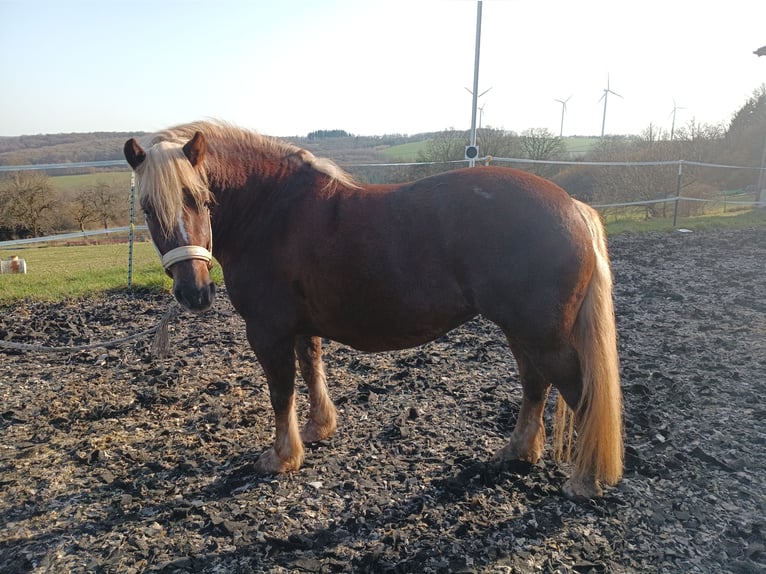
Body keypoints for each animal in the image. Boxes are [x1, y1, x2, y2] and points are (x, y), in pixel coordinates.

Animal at [124, 121, 623, 500]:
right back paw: (517, 453)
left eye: (199, 199)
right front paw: (318, 430)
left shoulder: (268, 331)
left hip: (543, 336)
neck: (271, 211)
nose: (194, 293)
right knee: (535, 386)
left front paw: (281, 457)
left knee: (580, 393)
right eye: (147, 208)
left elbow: (282, 391)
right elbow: (312, 370)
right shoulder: (301, 327)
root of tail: (573, 207)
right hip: (523, 332)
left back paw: (585, 481)